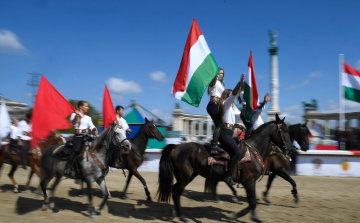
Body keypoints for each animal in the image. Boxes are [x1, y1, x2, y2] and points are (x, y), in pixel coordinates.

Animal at [156, 114, 294, 222]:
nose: (291, 149)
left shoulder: (251, 182)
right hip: (184, 177)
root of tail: (176, 147)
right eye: (285, 130)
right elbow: (253, 202)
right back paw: (183, 217)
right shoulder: (248, 182)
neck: (254, 151)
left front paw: (249, 216)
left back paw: (176, 212)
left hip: (188, 176)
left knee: (175, 190)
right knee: (176, 192)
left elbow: (252, 202)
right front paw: (239, 216)